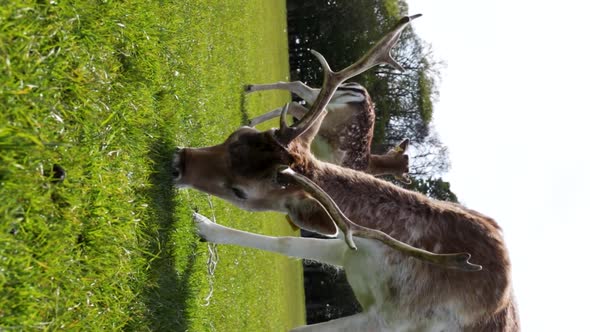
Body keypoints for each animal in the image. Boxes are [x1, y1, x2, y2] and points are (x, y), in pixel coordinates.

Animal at [245, 81, 412, 183]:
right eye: (407, 169)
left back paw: (249, 95)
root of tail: (361, 93)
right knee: (294, 104)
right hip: (328, 120)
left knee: (298, 88)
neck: (368, 166)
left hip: (325, 96)